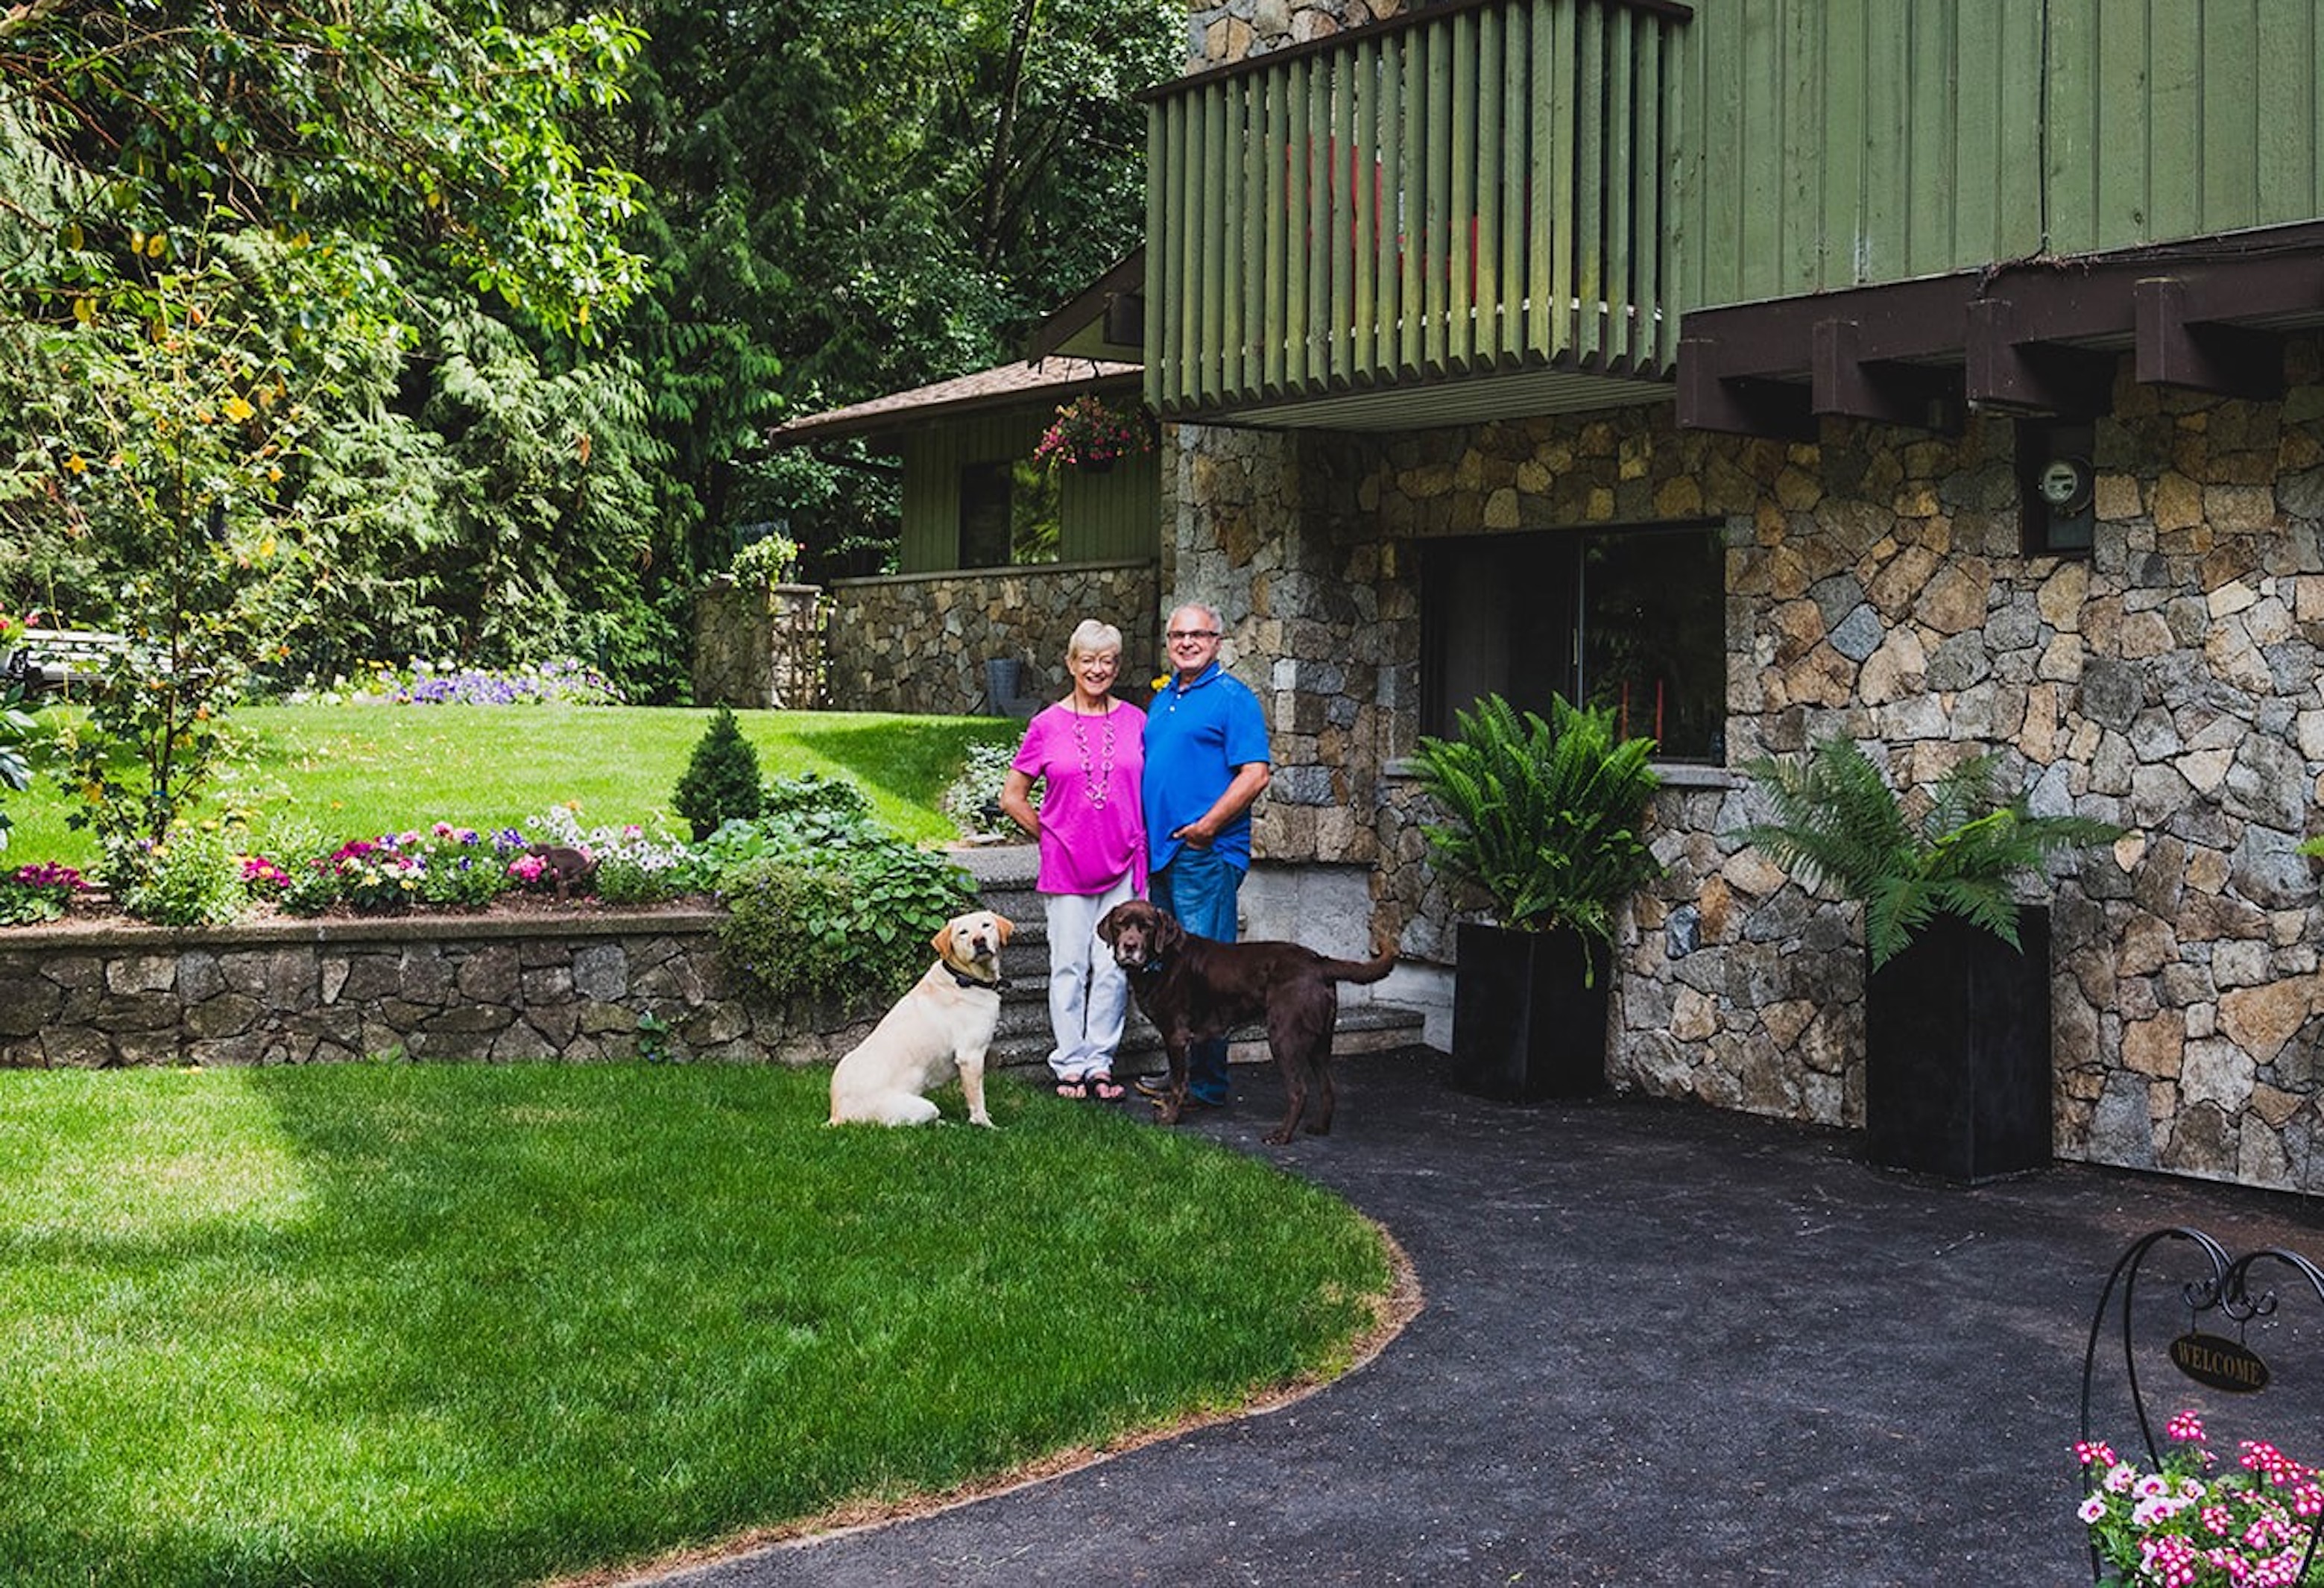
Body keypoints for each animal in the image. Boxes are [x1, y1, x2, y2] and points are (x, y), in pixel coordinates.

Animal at [836, 911, 1017, 1125]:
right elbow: (977, 1098)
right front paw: (985, 1124)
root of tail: (836, 1115)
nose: (979, 940)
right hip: (922, 1106)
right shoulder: (970, 1056)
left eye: (986, 925)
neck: (965, 979)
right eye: (963, 932)